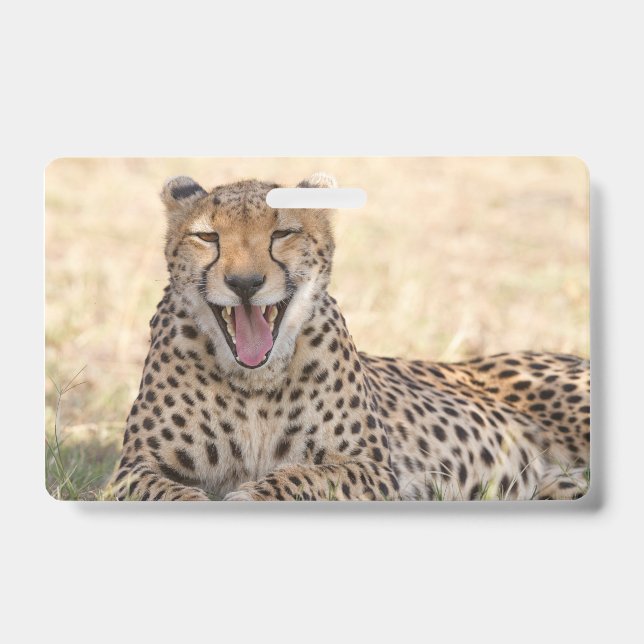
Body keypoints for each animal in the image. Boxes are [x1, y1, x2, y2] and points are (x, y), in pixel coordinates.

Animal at [108, 172, 590, 501]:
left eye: (283, 233)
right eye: (208, 237)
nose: (245, 283)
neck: (255, 383)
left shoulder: (373, 469)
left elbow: (305, 476)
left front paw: (250, 494)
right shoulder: (132, 468)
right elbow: (167, 491)